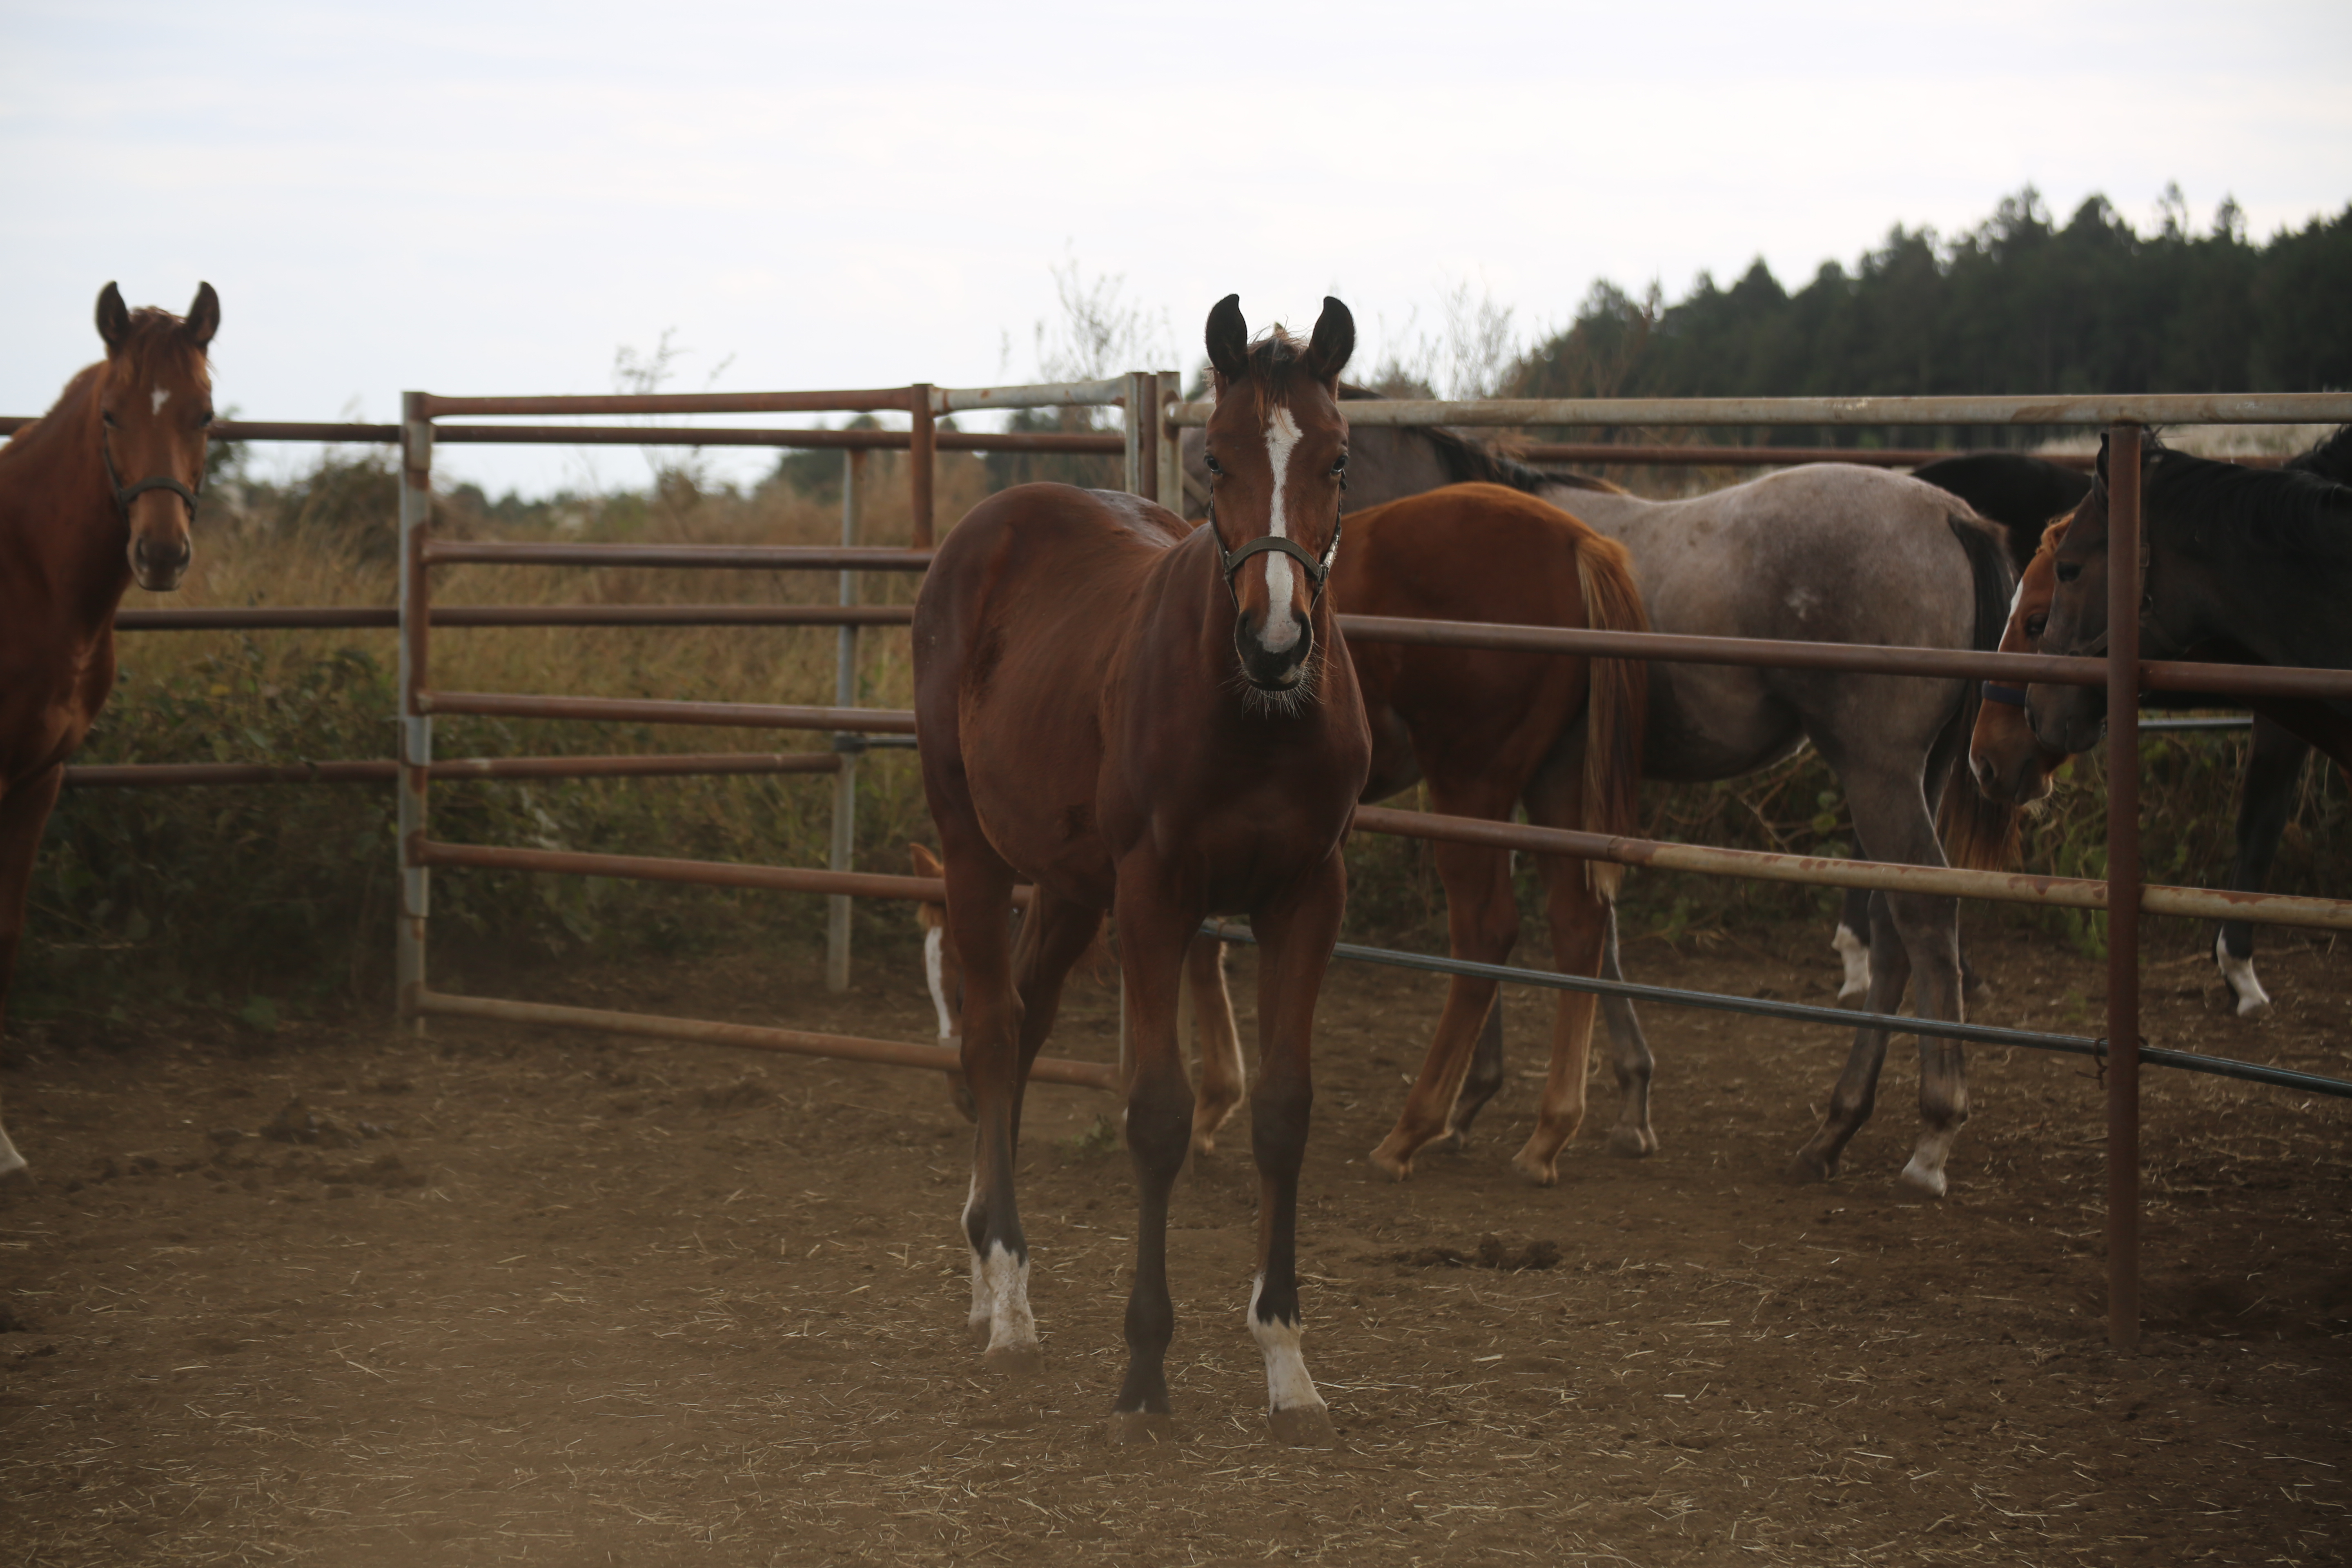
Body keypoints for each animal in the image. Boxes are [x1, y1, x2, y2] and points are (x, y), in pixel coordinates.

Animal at [908, 294, 1373, 1448]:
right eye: (1214, 458)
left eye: (1337, 459)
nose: (1276, 639)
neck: (1255, 719)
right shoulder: (1157, 897)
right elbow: (1157, 1114)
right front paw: (1143, 1368)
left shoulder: (1309, 895)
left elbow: (1284, 1112)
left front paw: (1287, 1362)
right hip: (975, 848)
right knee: (991, 1038)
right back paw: (1009, 1294)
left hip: (1073, 884)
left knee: (1023, 1026)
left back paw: (986, 1259)